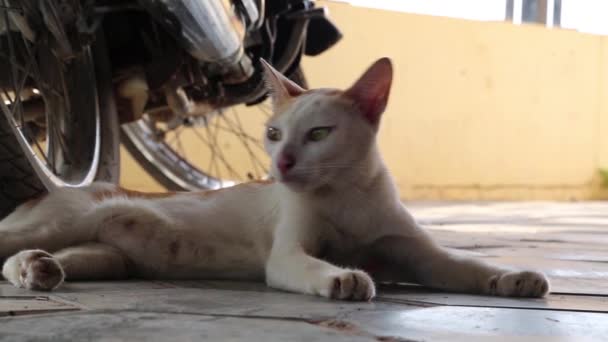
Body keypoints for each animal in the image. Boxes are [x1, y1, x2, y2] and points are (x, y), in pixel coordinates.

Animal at [1, 58, 552, 300]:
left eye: (318, 134)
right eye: (272, 133)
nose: (280, 165)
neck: (349, 196)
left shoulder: (420, 256)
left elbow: (464, 265)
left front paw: (514, 277)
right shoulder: (287, 254)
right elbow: (311, 264)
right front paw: (341, 277)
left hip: (108, 255)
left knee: (18, 261)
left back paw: (38, 270)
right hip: (61, 223)